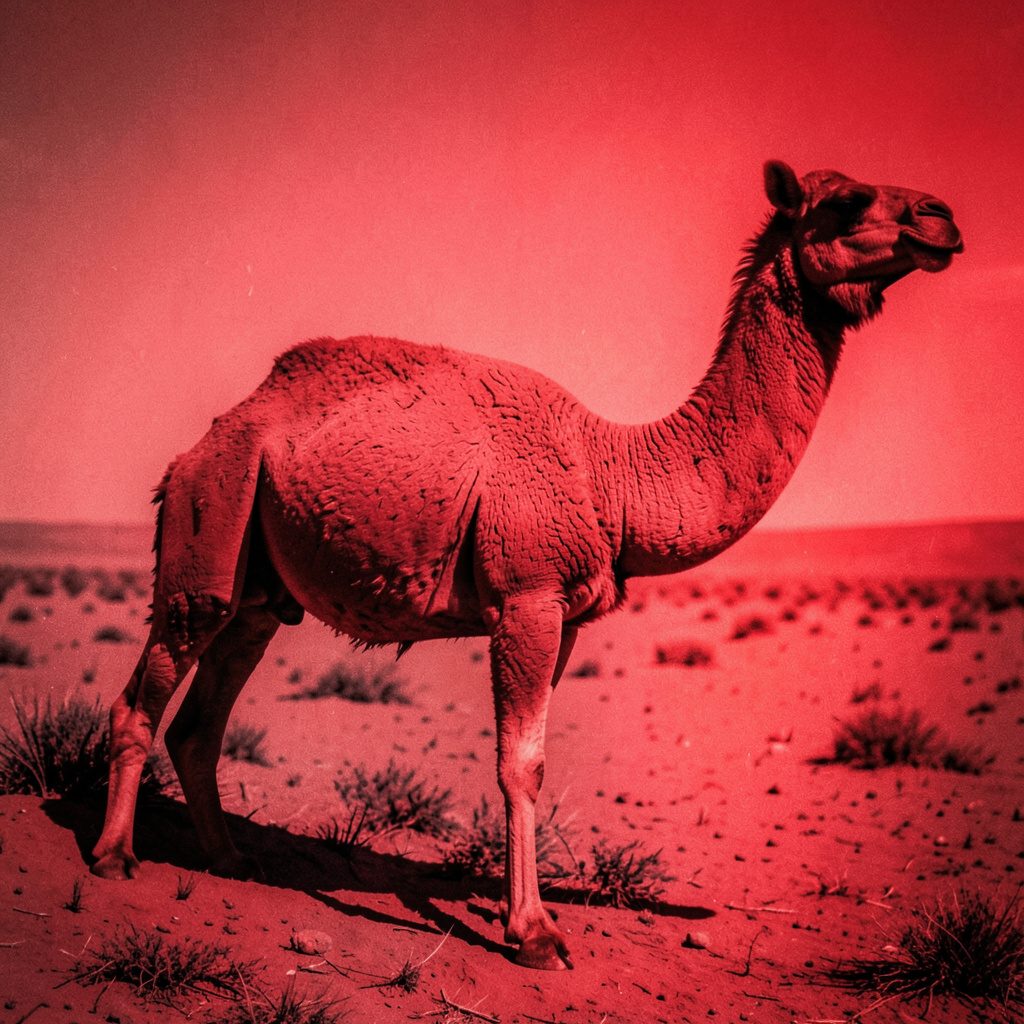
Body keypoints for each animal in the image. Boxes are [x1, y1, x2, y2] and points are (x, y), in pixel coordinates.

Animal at [91, 161, 962, 970]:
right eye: (845, 201)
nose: (942, 217)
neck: (614, 476)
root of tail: (191, 452)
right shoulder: (527, 597)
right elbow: (521, 767)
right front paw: (535, 934)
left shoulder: (567, 616)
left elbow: (533, 762)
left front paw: (528, 919)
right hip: (210, 521)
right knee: (145, 691)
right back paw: (113, 856)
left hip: (259, 590)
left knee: (202, 719)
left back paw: (231, 858)